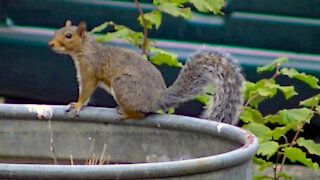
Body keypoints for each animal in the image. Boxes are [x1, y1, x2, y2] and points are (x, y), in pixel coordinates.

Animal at [47, 19, 244, 124]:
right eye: (57, 31)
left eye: (68, 36)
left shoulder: (90, 70)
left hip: (123, 84)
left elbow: (87, 90)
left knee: (140, 115)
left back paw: (125, 113)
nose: (50, 44)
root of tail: (157, 99)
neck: (84, 50)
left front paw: (78, 105)